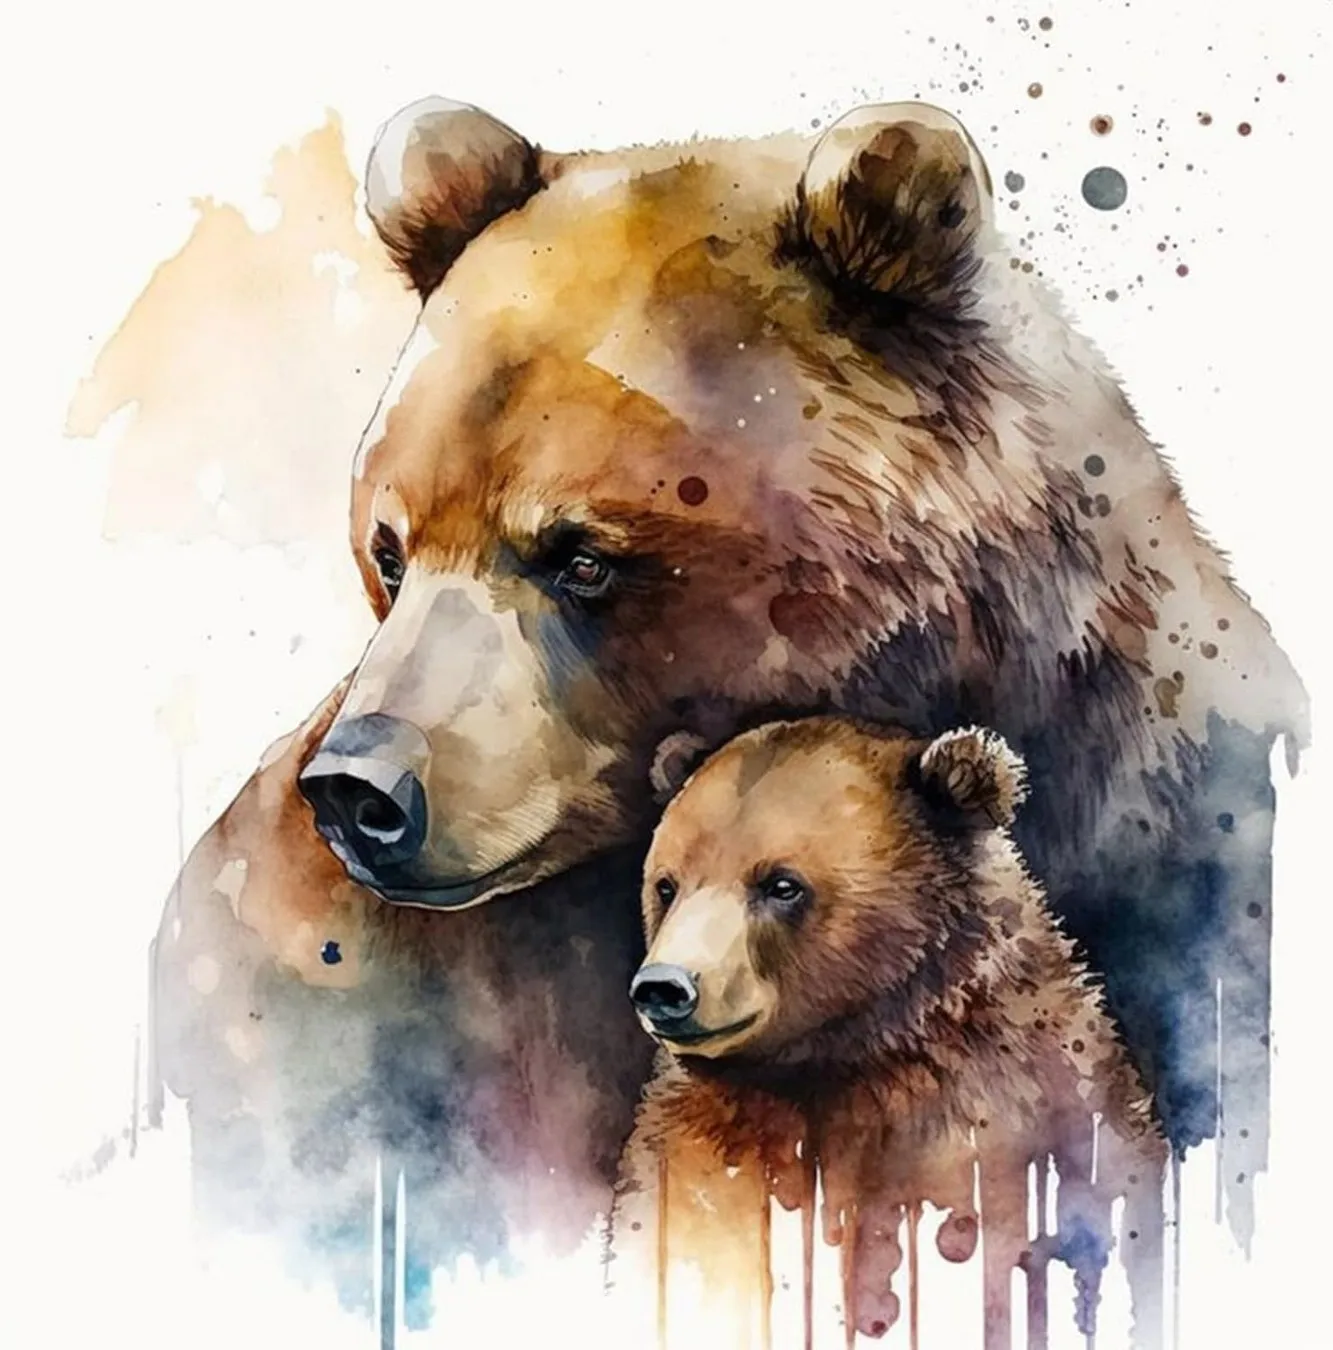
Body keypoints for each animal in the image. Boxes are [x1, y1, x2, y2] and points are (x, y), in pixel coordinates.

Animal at [608, 718, 1167, 1350]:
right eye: (668, 885)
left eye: (781, 885)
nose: (664, 987)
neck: (842, 1057)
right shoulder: (705, 1147)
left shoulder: (1007, 1120)